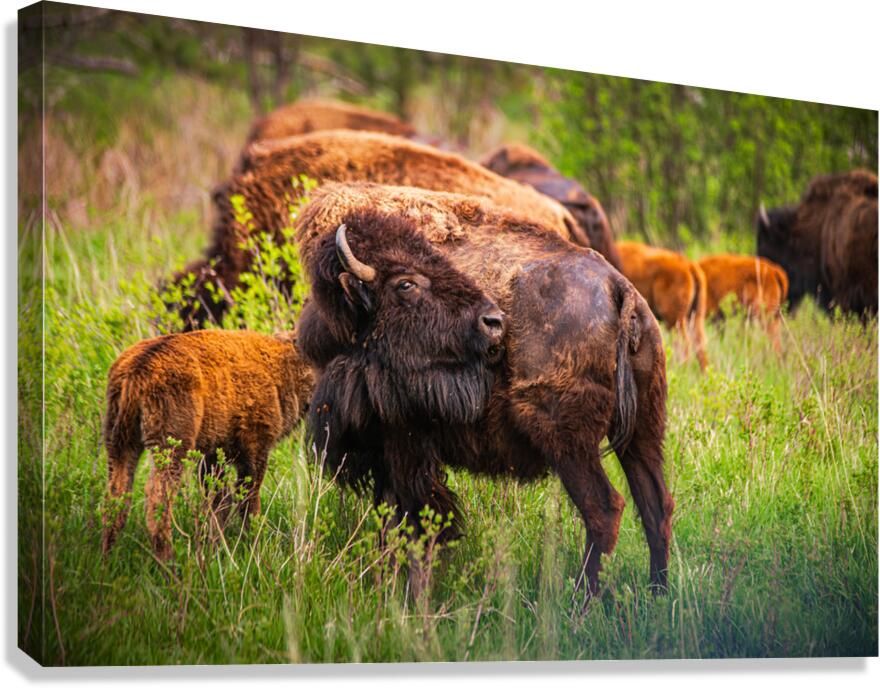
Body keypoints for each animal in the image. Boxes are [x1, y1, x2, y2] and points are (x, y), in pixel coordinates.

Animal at [296, 182, 673, 600]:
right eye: (406, 283)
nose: (494, 322)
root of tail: (617, 287)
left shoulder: (403, 444)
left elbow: (417, 522)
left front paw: (412, 595)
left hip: (567, 442)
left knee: (604, 510)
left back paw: (580, 601)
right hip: (642, 429)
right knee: (656, 506)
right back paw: (658, 595)